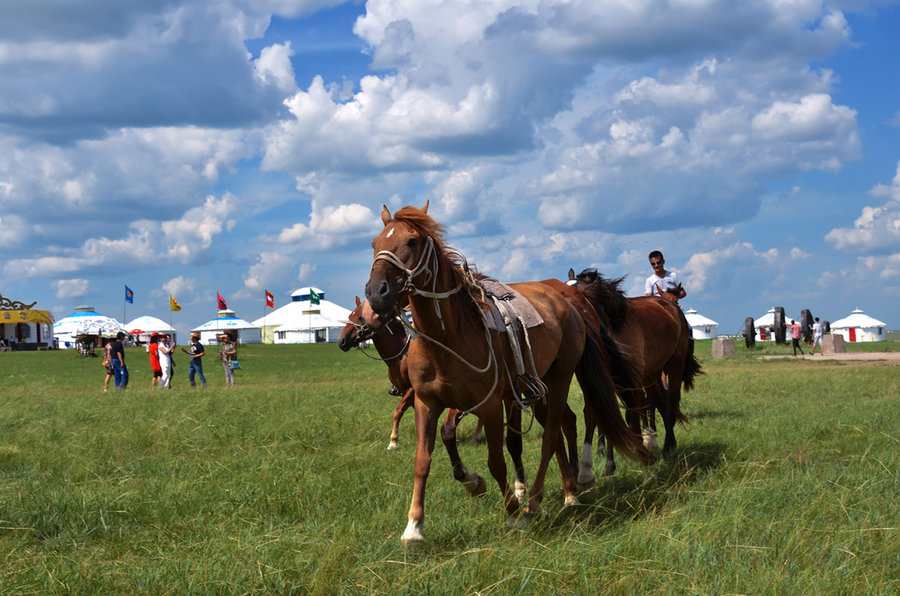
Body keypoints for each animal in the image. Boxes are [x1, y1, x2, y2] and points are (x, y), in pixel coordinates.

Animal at [362, 205, 644, 544]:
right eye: (375, 243)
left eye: (413, 241)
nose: (376, 294)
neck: (448, 339)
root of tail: (568, 301)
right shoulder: (427, 404)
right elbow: (423, 461)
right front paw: (414, 527)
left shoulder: (490, 406)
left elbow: (496, 461)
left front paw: (512, 513)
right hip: (539, 386)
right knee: (563, 427)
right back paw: (569, 492)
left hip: (561, 377)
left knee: (554, 434)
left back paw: (536, 501)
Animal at [568, 266, 704, 480]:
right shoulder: (602, 383)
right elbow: (601, 415)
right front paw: (603, 465)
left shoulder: (630, 383)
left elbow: (630, 414)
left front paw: (638, 452)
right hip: (652, 376)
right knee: (661, 404)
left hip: (673, 367)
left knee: (669, 404)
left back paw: (665, 449)